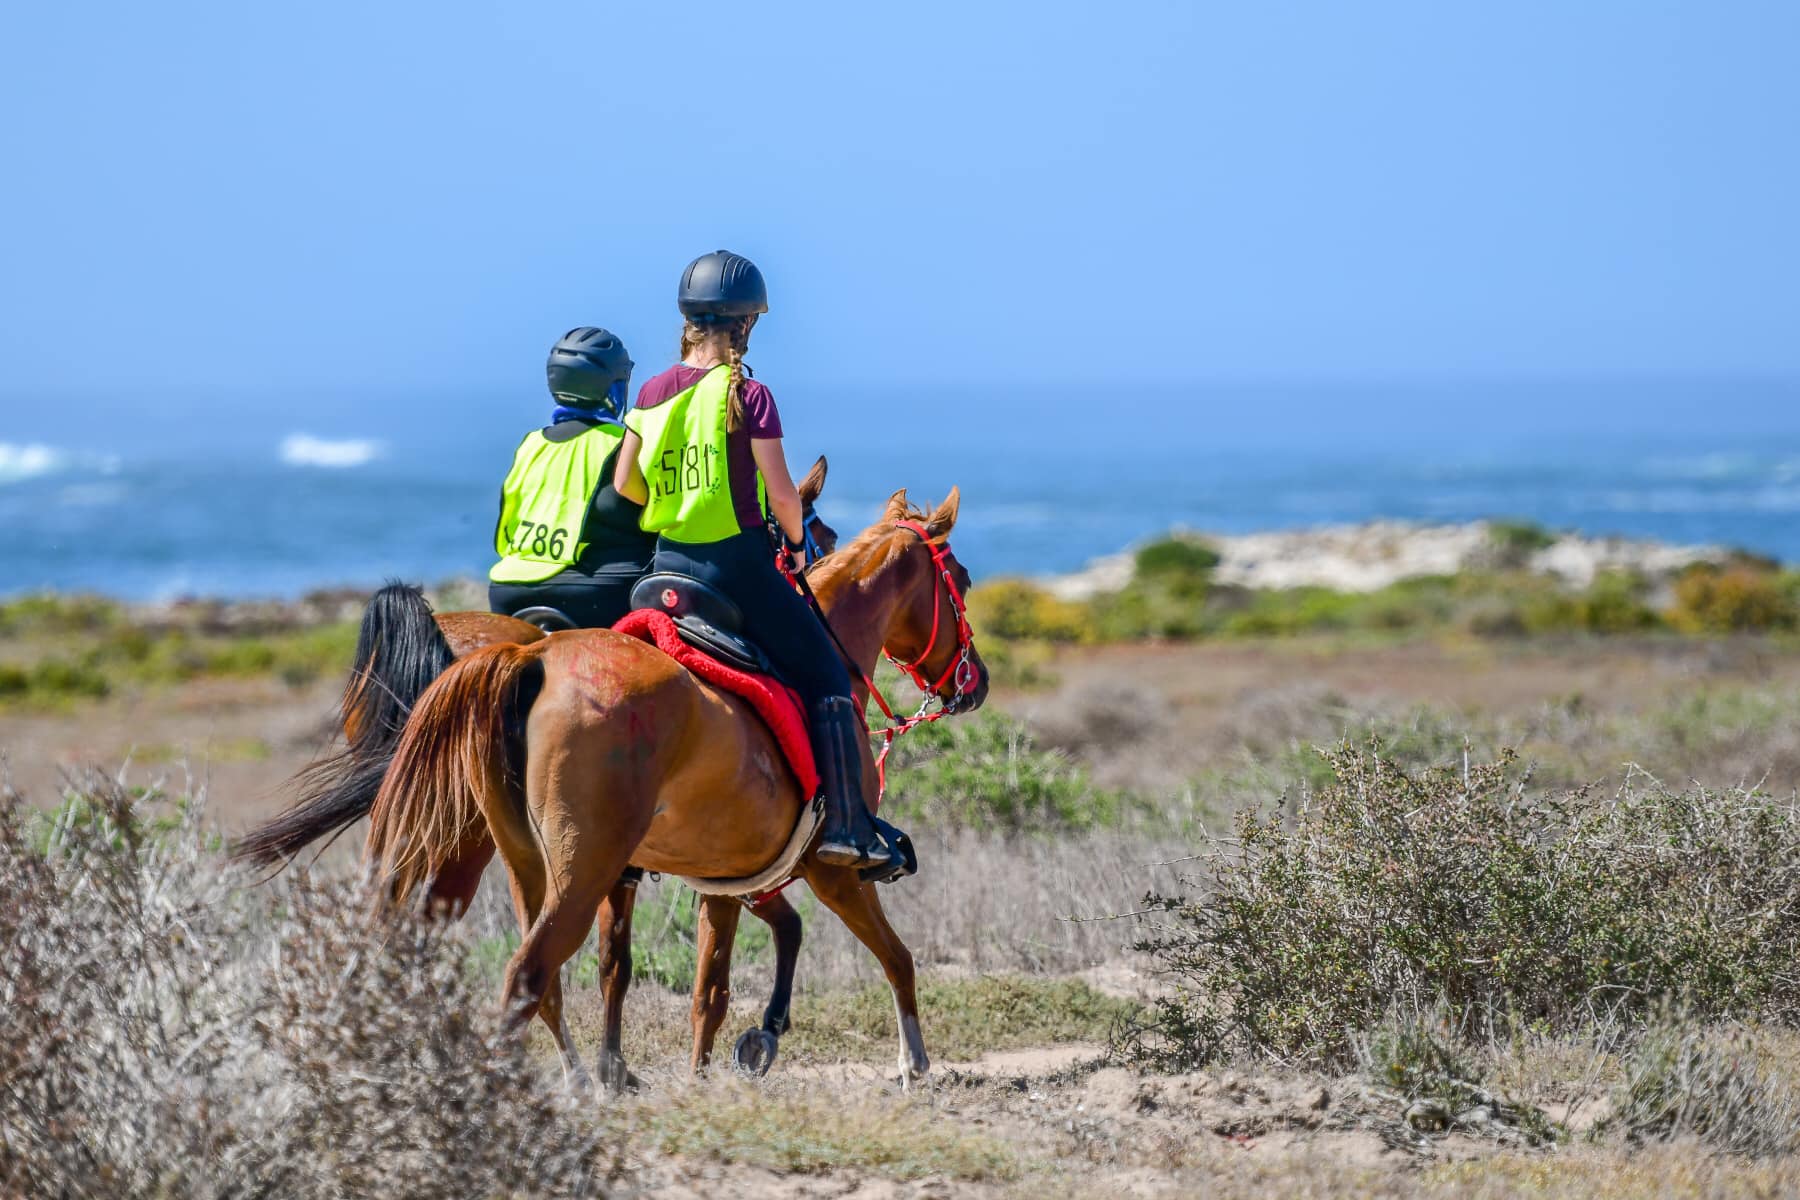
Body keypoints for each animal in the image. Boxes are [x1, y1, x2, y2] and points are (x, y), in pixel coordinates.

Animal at [358, 489, 993, 1086]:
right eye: (961, 579)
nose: (977, 682)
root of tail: (530, 657)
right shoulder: (831, 871)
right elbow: (895, 956)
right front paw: (913, 1063)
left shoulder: (726, 880)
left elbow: (708, 990)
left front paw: (718, 1066)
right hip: (574, 873)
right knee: (525, 975)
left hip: (520, 864)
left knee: (517, 975)